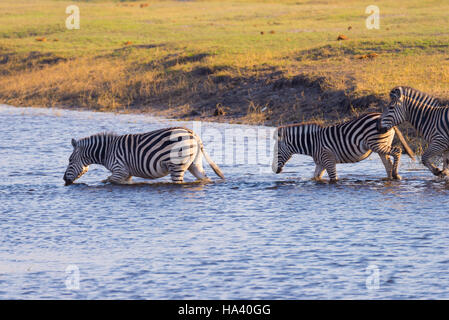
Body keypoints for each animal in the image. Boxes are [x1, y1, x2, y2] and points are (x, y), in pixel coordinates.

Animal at [63, 125, 224, 184]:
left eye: (70, 160)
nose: (64, 180)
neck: (107, 152)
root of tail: (193, 134)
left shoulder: (120, 170)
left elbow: (107, 181)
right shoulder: (126, 174)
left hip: (177, 165)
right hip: (194, 164)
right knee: (204, 178)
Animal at [270, 112, 412, 182]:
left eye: (276, 152)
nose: (274, 170)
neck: (313, 144)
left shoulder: (328, 160)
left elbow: (334, 178)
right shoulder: (321, 163)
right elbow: (315, 177)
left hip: (378, 144)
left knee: (398, 151)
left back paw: (396, 175)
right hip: (381, 145)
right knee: (388, 164)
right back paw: (391, 178)